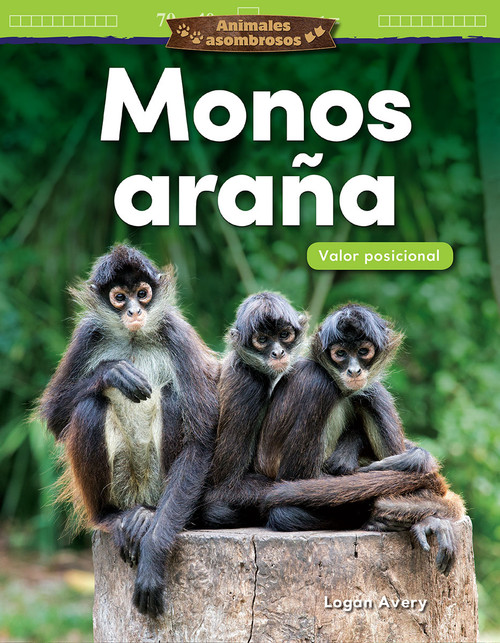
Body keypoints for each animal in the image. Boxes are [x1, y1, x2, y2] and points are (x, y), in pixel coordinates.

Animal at [39, 245, 219, 617]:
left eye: (143, 293)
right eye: (119, 297)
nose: (135, 310)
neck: (134, 338)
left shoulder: (175, 330)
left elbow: (200, 441)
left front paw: (153, 558)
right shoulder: (87, 333)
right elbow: (55, 418)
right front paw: (111, 373)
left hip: (156, 484)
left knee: (172, 397)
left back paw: (148, 517)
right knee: (89, 407)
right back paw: (111, 518)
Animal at [256, 304, 464, 575]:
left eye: (363, 352)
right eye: (341, 353)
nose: (354, 370)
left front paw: (416, 462)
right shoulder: (314, 380)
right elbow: (294, 480)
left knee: (371, 392)